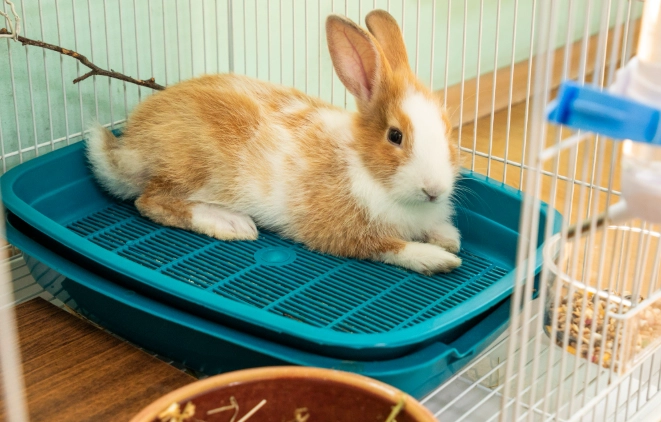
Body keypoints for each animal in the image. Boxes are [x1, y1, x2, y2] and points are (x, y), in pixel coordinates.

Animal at [86, 10, 462, 275]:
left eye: (447, 129)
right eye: (395, 136)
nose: (434, 190)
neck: (366, 168)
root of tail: (126, 148)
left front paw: (449, 237)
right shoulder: (345, 234)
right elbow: (390, 247)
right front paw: (438, 259)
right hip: (192, 170)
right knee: (151, 201)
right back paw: (230, 223)